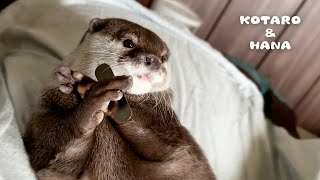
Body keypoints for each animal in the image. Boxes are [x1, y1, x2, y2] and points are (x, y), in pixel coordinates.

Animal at [23, 17, 215, 179]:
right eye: (129, 43)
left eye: (164, 57)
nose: (155, 61)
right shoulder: (46, 108)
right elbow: (50, 153)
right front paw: (90, 100)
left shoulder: (177, 140)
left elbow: (161, 143)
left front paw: (90, 84)